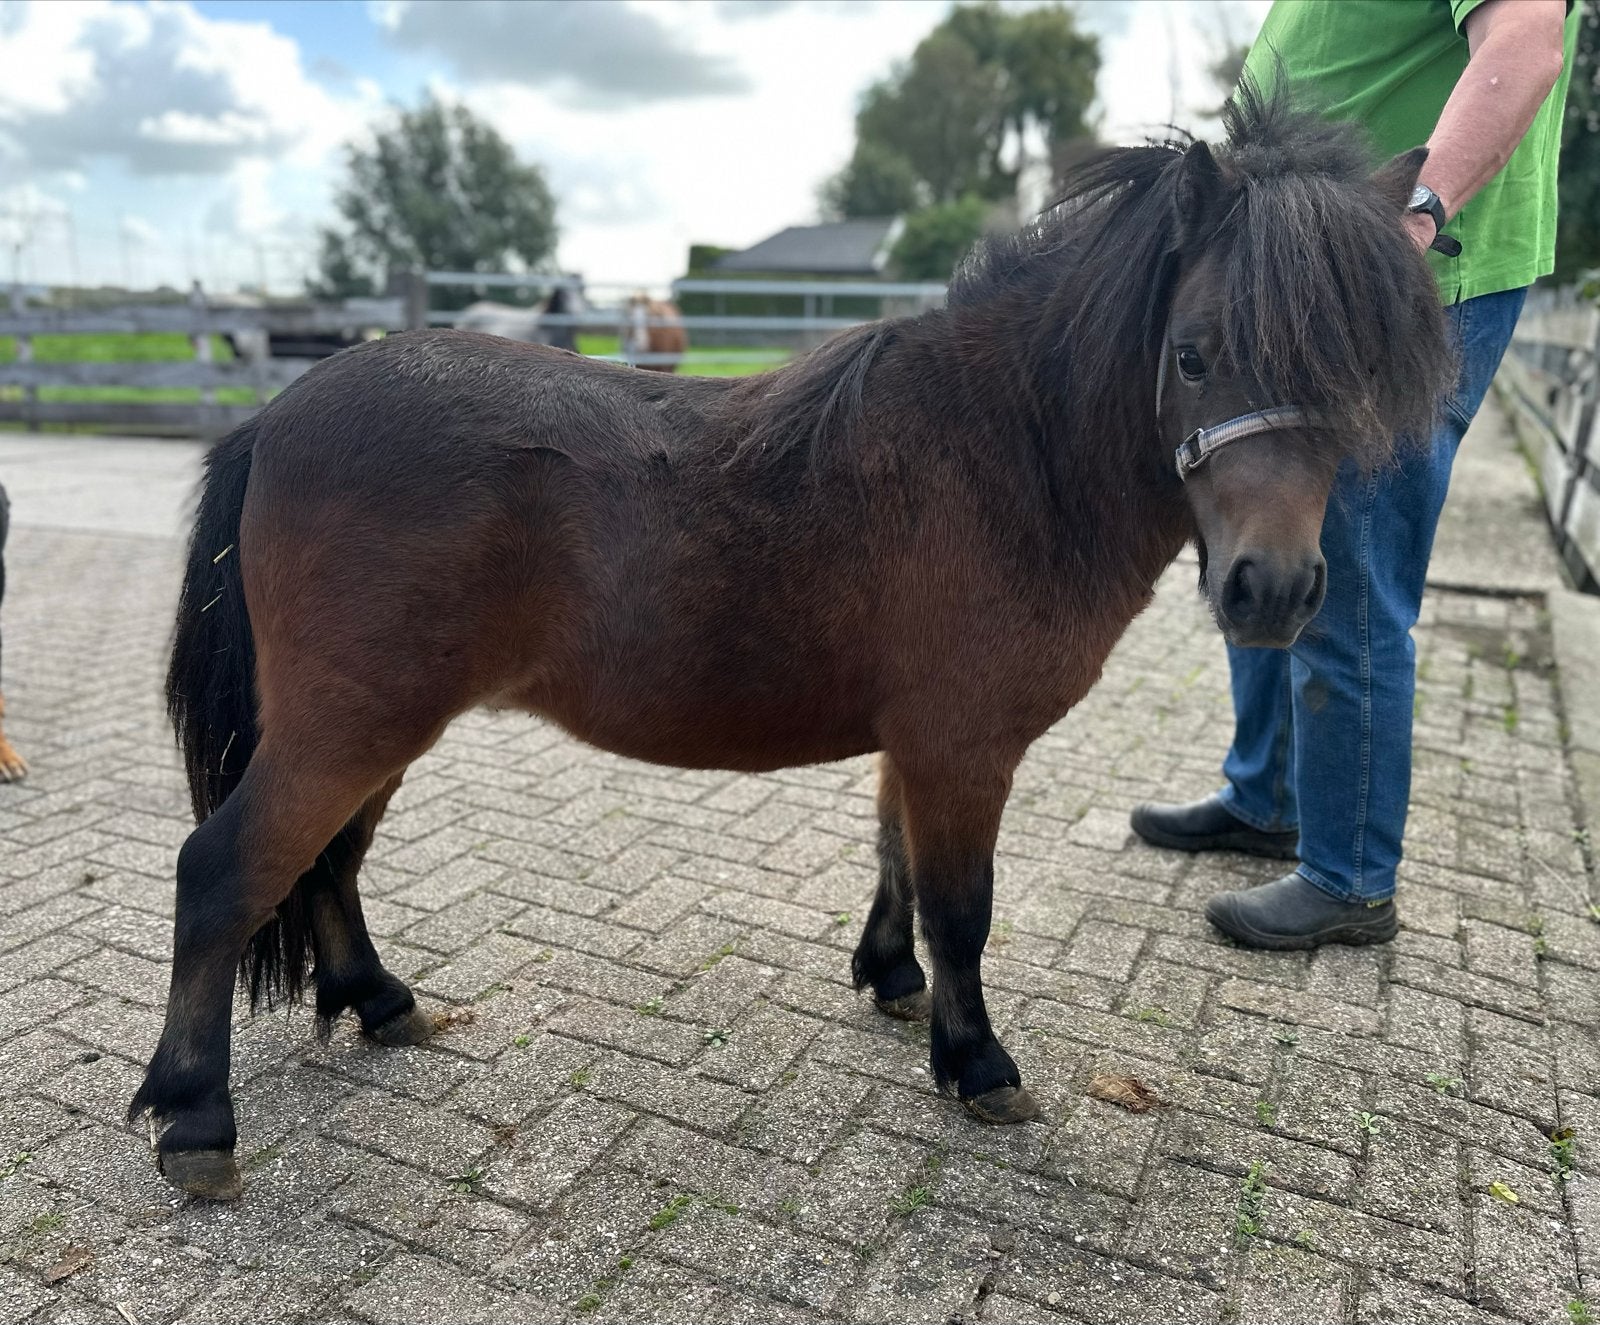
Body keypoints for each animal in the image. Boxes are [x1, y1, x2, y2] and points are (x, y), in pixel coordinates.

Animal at [131, 80, 1452, 1200]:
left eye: (1359, 370)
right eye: (1191, 352)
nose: (1271, 591)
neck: (1003, 452)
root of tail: (278, 413)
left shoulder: (916, 743)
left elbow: (895, 863)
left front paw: (894, 983)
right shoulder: (964, 746)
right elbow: (960, 905)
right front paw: (978, 1062)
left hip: (374, 727)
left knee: (328, 863)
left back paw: (378, 1000)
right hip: (348, 725)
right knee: (227, 869)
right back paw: (196, 1118)